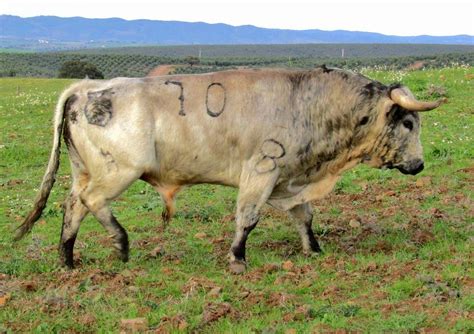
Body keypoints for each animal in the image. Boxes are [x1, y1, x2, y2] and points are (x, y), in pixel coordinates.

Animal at [15, 66, 444, 272]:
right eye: (409, 123)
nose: (419, 164)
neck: (309, 103)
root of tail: (86, 88)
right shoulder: (262, 170)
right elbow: (248, 217)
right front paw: (238, 257)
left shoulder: (288, 181)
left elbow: (304, 215)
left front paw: (314, 249)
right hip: (118, 171)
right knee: (91, 201)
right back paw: (120, 242)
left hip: (84, 170)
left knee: (73, 206)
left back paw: (68, 259)